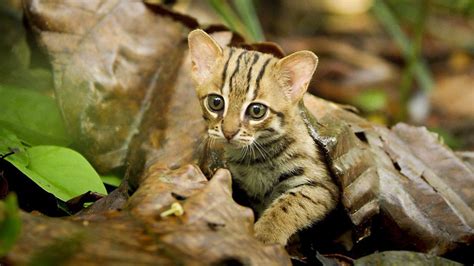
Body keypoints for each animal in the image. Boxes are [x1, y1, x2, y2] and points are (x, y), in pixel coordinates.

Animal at [187, 29, 338, 245]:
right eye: (215, 102)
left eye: (256, 110)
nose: (228, 132)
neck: (256, 157)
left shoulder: (323, 186)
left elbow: (291, 203)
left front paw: (265, 235)